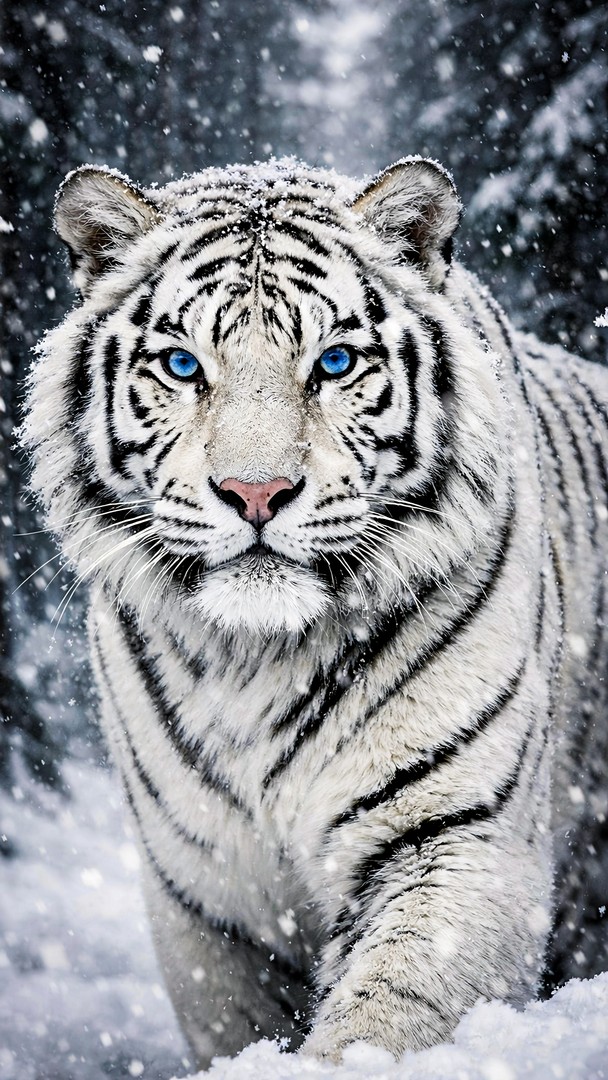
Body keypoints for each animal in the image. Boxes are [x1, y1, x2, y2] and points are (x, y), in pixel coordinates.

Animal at [22, 156, 608, 1068]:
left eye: (332, 363)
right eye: (183, 366)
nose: (256, 491)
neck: (257, 658)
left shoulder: (458, 833)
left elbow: (389, 1012)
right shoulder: (205, 899)